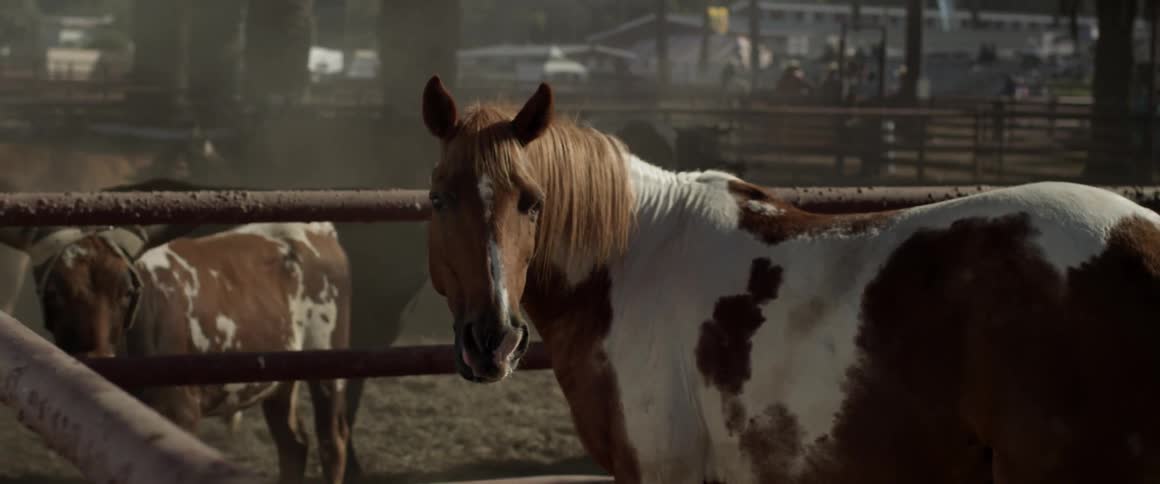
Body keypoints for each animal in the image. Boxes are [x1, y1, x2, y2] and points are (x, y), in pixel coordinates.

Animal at [0, 218, 356, 484]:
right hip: (280, 379)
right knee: (293, 443)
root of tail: (320, 230)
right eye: (54, 292)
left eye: (126, 292)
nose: (96, 359)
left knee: (332, 442)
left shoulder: (179, 412)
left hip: (328, 362)